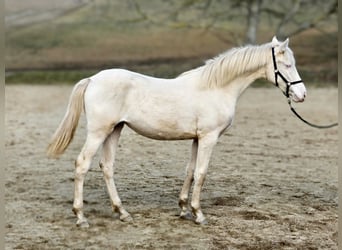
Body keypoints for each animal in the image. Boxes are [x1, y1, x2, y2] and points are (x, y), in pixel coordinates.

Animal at [46, 36, 306, 227]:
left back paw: (122, 212)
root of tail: (92, 79)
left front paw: (183, 209)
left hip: (114, 130)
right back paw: (81, 216)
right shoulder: (209, 138)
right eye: (287, 65)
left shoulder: (197, 139)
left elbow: (190, 171)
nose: (301, 95)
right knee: (82, 164)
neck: (216, 88)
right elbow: (201, 173)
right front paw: (198, 214)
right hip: (99, 132)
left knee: (107, 167)